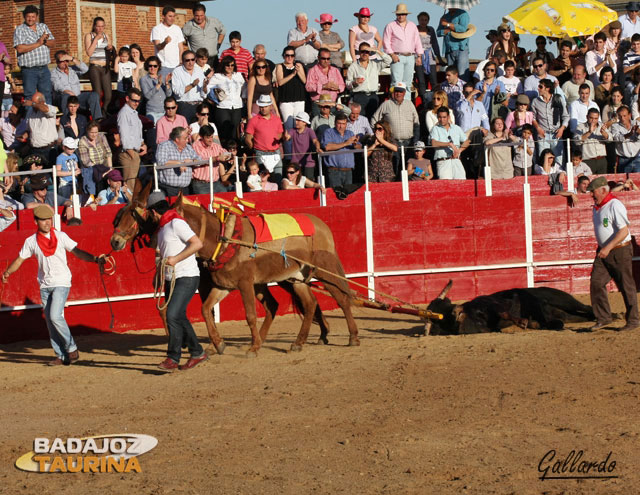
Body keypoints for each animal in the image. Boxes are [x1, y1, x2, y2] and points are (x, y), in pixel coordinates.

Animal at [424, 280, 596, 336]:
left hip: (564, 300)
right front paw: (529, 323)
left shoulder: (491, 303)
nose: (457, 310)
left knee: (586, 307)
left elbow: (505, 312)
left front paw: (522, 322)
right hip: (568, 314)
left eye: (448, 303)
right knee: (575, 317)